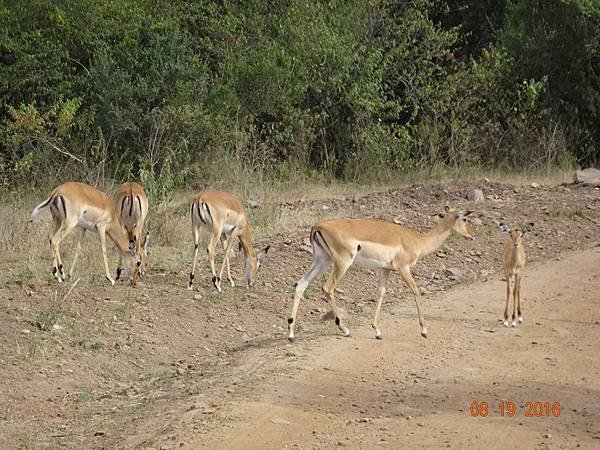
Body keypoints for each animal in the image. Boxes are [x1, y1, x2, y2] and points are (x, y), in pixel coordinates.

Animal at [288, 207, 476, 342]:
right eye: (465, 218)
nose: (471, 235)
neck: (418, 241)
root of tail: (318, 226)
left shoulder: (385, 269)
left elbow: (380, 293)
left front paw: (377, 331)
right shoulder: (403, 268)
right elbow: (416, 290)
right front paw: (424, 330)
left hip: (322, 261)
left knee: (301, 284)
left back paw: (291, 333)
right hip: (341, 263)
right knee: (327, 288)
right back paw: (345, 329)